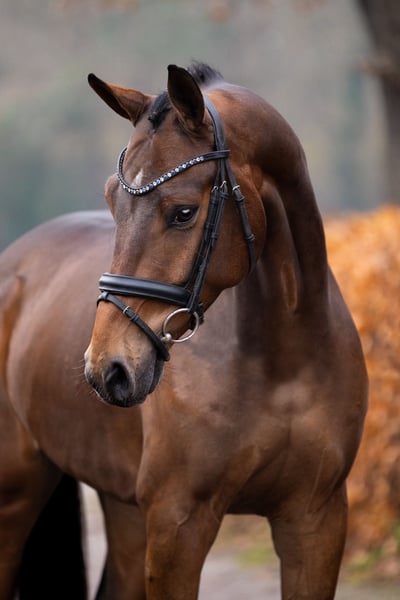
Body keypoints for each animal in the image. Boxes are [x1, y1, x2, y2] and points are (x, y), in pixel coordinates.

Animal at [0, 62, 367, 599]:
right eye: (112, 198)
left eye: (183, 212)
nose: (108, 368)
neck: (283, 365)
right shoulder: (178, 525)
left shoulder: (315, 521)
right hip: (18, 496)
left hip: (125, 511)